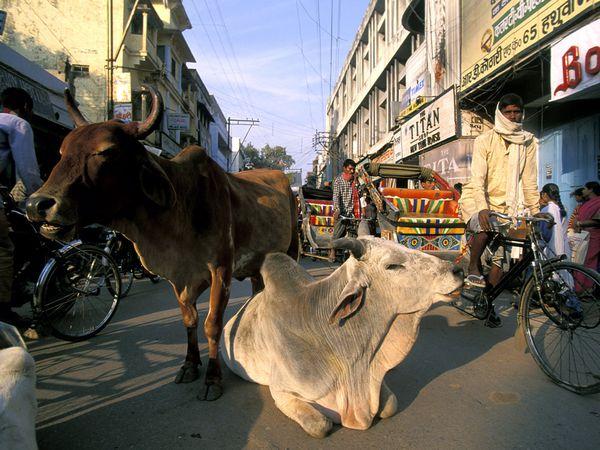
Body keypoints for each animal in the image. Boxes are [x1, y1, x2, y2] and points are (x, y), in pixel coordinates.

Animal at [25, 85, 298, 400]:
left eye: (105, 152)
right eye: (62, 151)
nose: (36, 204)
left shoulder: (221, 271)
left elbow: (212, 324)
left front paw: (212, 378)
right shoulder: (178, 278)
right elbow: (189, 320)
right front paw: (189, 365)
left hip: (291, 250)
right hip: (256, 265)